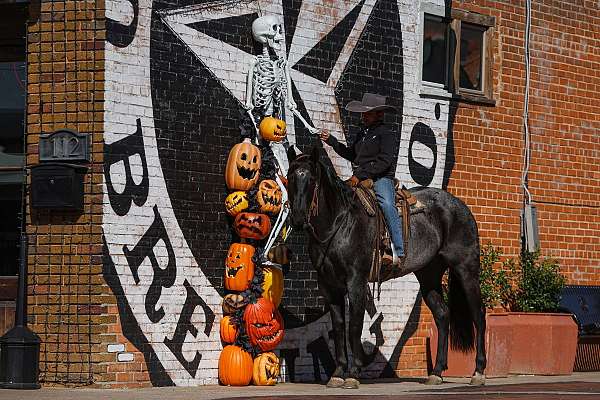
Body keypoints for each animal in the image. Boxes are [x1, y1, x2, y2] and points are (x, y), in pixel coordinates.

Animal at [286, 147, 488, 388]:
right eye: (289, 177)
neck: (339, 224)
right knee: (442, 314)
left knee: (478, 314)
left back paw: (478, 372)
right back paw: (437, 372)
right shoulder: (328, 286)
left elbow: (354, 327)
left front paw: (353, 373)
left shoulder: (356, 281)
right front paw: (338, 373)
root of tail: (460, 205)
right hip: (429, 275)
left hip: (466, 269)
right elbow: (339, 327)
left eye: (311, 179)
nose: (298, 219)